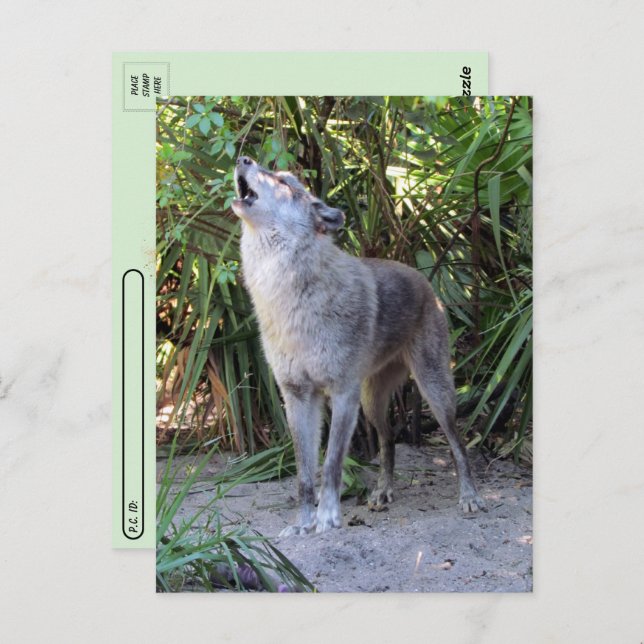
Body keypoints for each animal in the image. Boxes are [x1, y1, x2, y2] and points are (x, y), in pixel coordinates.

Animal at [231, 156, 485, 536]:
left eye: (284, 182)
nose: (243, 158)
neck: (288, 297)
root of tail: (423, 278)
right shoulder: (298, 396)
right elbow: (304, 475)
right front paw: (302, 524)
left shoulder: (342, 394)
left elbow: (331, 465)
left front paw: (327, 519)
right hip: (372, 402)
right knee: (388, 438)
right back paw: (382, 493)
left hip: (434, 393)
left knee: (457, 442)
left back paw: (469, 496)